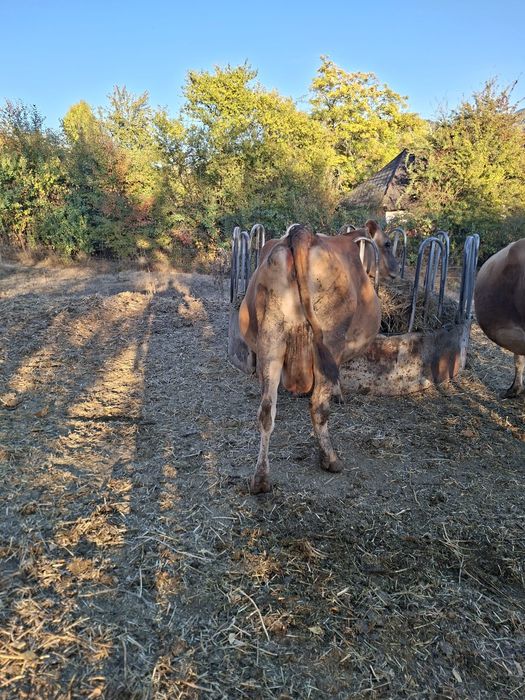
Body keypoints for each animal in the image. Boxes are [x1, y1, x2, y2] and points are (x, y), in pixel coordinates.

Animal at [238, 223, 381, 493]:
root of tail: (302, 233)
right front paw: (339, 394)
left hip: (270, 338)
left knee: (266, 411)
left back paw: (260, 480)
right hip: (330, 338)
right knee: (318, 406)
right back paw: (330, 459)